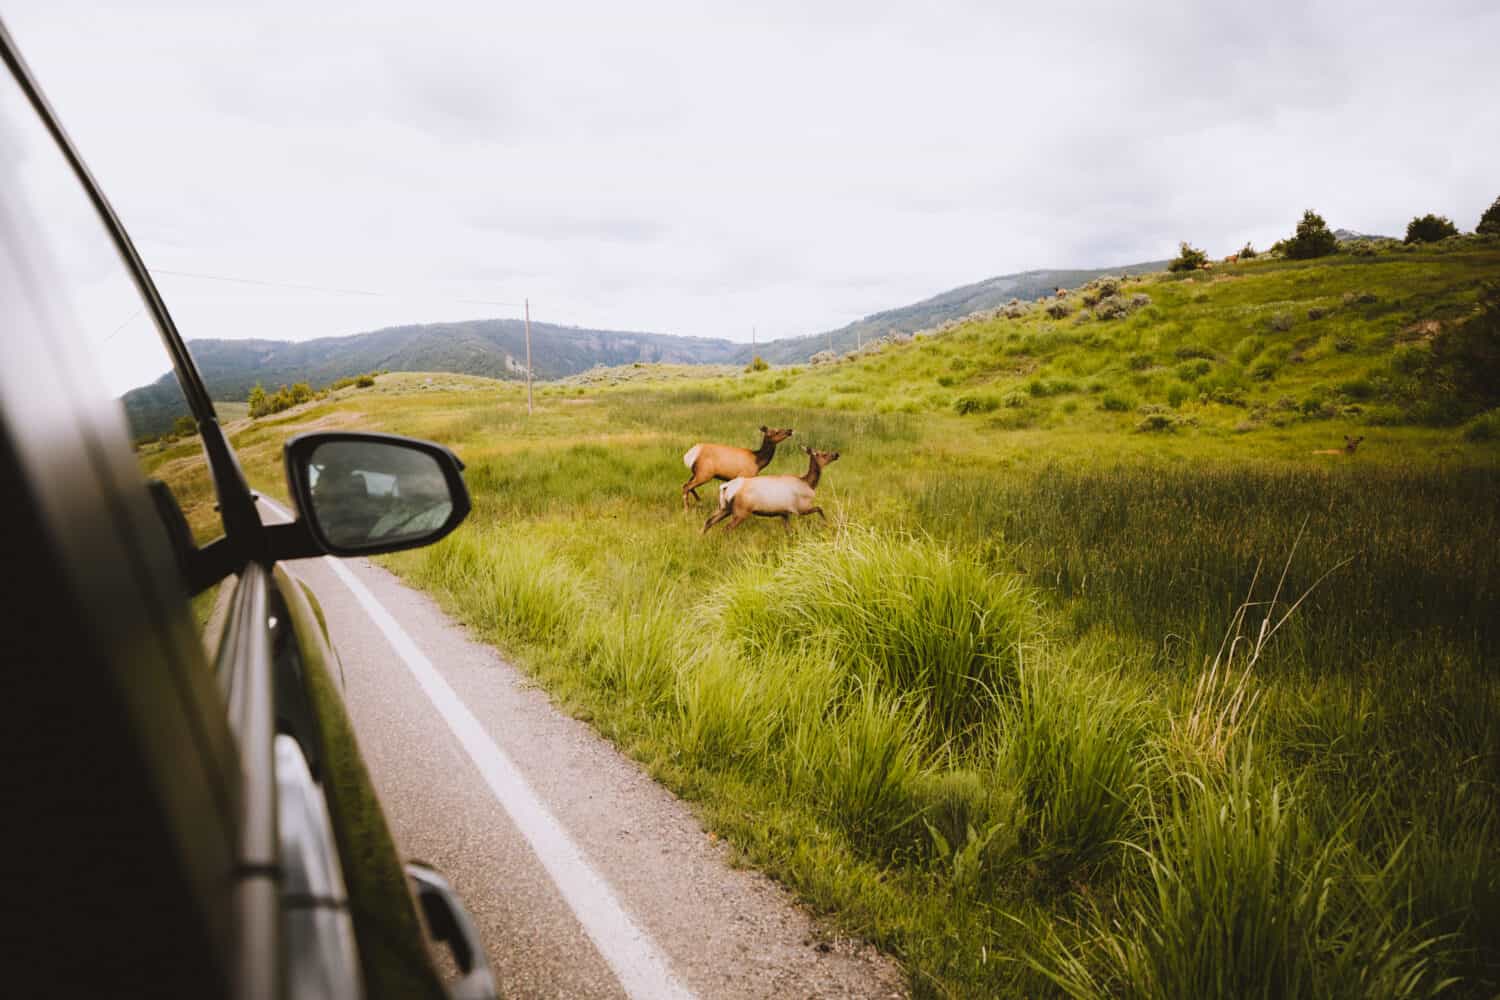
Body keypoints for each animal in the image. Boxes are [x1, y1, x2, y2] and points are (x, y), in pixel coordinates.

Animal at [699, 446, 840, 536]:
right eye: (823, 454)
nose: (836, 454)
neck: (809, 484)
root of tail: (725, 487)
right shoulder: (800, 508)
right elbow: (819, 508)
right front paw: (827, 524)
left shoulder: (784, 513)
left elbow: (789, 532)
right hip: (741, 511)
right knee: (725, 528)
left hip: (724, 507)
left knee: (708, 521)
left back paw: (702, 538)